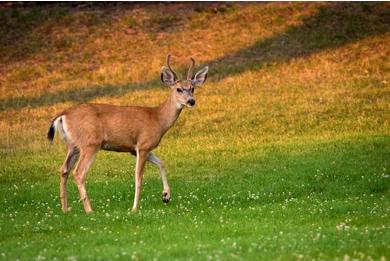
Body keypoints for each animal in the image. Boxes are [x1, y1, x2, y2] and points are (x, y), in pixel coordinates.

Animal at [47, 54, 209, 211]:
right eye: (179, 89)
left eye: (192, 88)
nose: (191, 101)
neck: (157, 119)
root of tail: (63, 114)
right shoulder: (143, 145)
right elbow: (138, 176)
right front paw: (135, 208)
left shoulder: (136, 149)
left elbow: (162, 163)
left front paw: (166, 196)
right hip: (90, 143)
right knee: (79, 172)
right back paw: (89, 210)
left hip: (73, 145)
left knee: (64, 170)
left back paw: (65, 209)